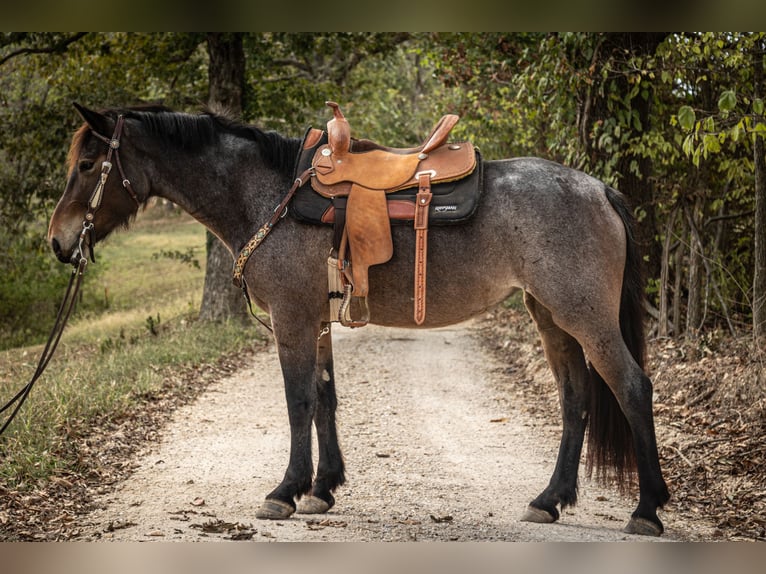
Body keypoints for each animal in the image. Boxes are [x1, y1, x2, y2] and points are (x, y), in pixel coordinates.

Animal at [48, 103, 670, 536]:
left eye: (87, 164)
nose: (57, 241)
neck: (268, 195)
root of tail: (598, 188)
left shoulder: (293, 319)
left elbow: (298, 400)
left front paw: (286, 490)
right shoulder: (317, 320)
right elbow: (325, 396)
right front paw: (323, 489)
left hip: (584, 316)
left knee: (633, 388)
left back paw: (648, 509)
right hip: (551, 317)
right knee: (576, 399)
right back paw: (549, 500)